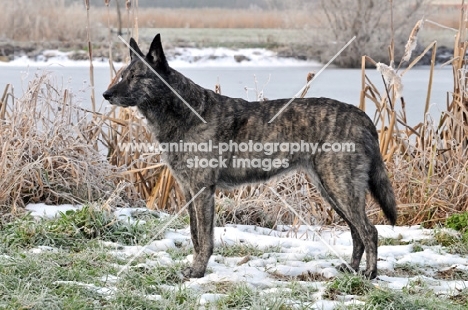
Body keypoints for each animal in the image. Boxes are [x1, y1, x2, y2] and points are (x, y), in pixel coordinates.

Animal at [102, 32, 394, 280]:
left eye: (137, 77)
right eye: (123, 75)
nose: (106, 94)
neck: (184, 112)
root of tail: (362, 117)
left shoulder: (203, 191)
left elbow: (204, 239)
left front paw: (197, 272)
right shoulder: (189, 191)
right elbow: (195, 235)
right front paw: (195, 268)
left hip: (341, 189)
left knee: (369, 231)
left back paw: (369, 274)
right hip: (332, 191)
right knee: (356, 231)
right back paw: (352, 269)